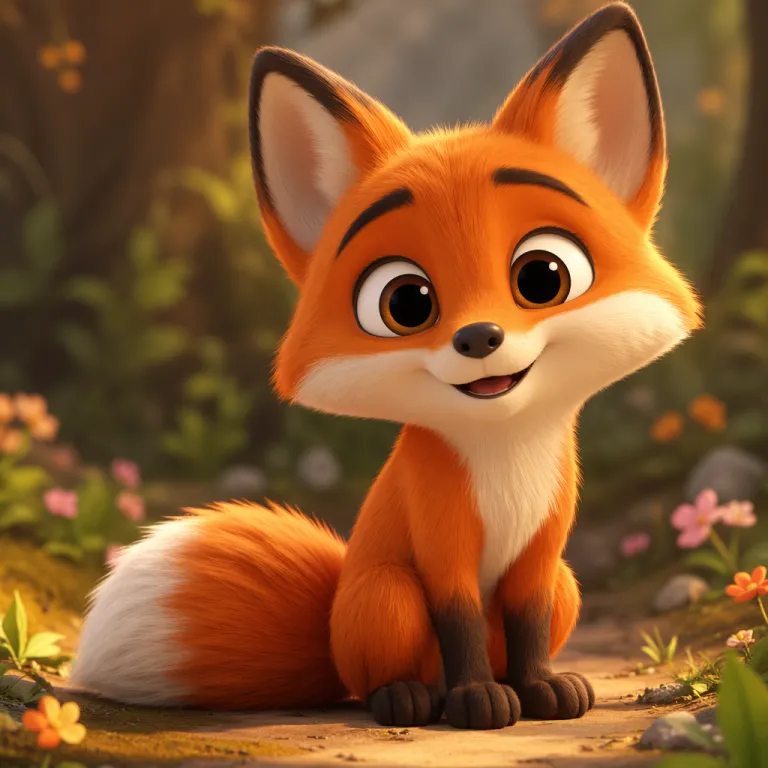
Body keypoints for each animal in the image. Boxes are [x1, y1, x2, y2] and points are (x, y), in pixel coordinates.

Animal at [71, 2, 700, 730]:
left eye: (544, 277)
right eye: (405, 302)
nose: (479, 337)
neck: (505, 457)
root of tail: (331, 628)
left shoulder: (543, 553)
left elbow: (531, 624)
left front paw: (542, 690)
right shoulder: (441, 545)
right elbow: (459, 624)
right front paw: (478, 702)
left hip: (569, 583)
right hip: (388, 595)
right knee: (379, 680)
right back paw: (412, 698)